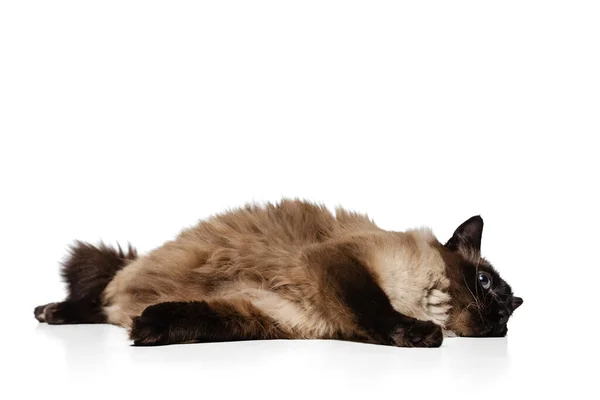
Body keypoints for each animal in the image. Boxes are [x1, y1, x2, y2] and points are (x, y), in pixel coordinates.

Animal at [32, 199, 524, 346]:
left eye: (507, 317)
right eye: (485, 283)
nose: (499, 312)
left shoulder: (270, 314)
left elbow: (203, 319)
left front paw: (149, 327)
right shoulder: (342, 264)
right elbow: (378, 310)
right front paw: (421, 333)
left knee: (104, 308)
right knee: (96, 297)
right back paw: (50, 311)